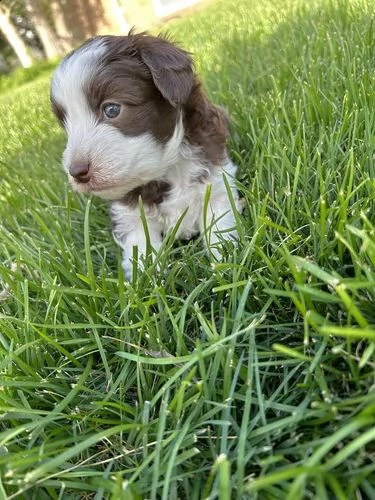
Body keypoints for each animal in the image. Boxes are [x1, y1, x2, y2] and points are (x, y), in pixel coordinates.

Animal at [50, 32, 242, 280]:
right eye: (66, 125)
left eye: (112, 109)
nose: (76, 171)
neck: (166, 170)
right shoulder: (129, 215)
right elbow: (141, 249)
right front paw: (148, 280)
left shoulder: (216, 181)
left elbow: (219, 228)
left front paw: (225, 267)